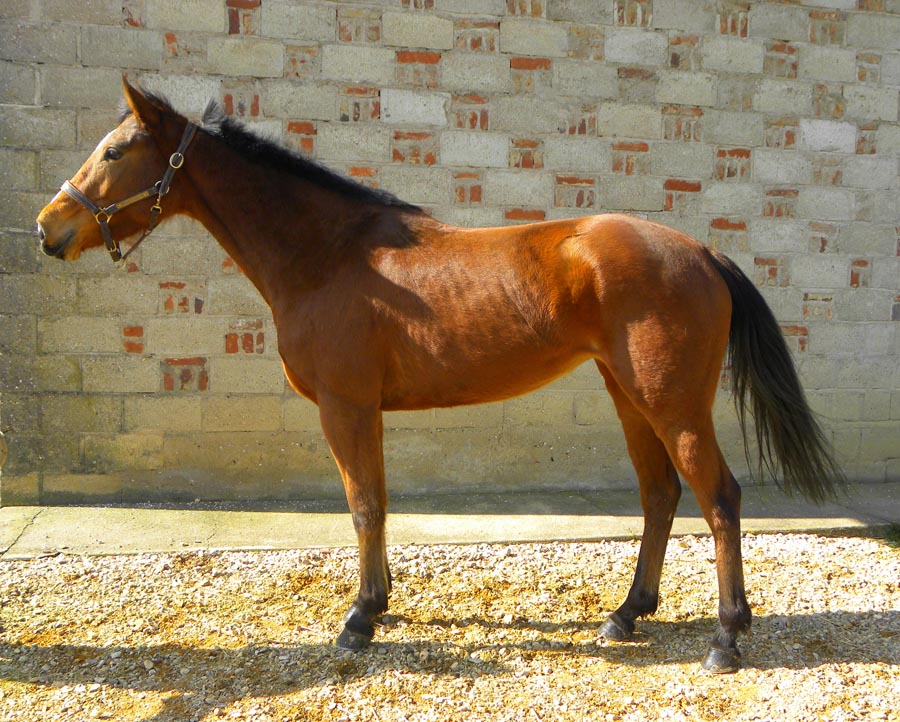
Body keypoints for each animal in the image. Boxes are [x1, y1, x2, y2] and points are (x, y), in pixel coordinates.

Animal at [37, 81, 844, 672]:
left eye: (115, 151)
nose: (48, 228)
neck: (329, 255)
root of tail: (703, 253)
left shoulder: (345, 406)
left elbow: (364, 507)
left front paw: (360, 620)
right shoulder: (364, 411)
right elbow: (377, 504)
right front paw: (380, 603)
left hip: (672, 404)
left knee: (719, 500)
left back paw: (726, 639)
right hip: (629, 396)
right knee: (660, 495)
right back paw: (624, 616)